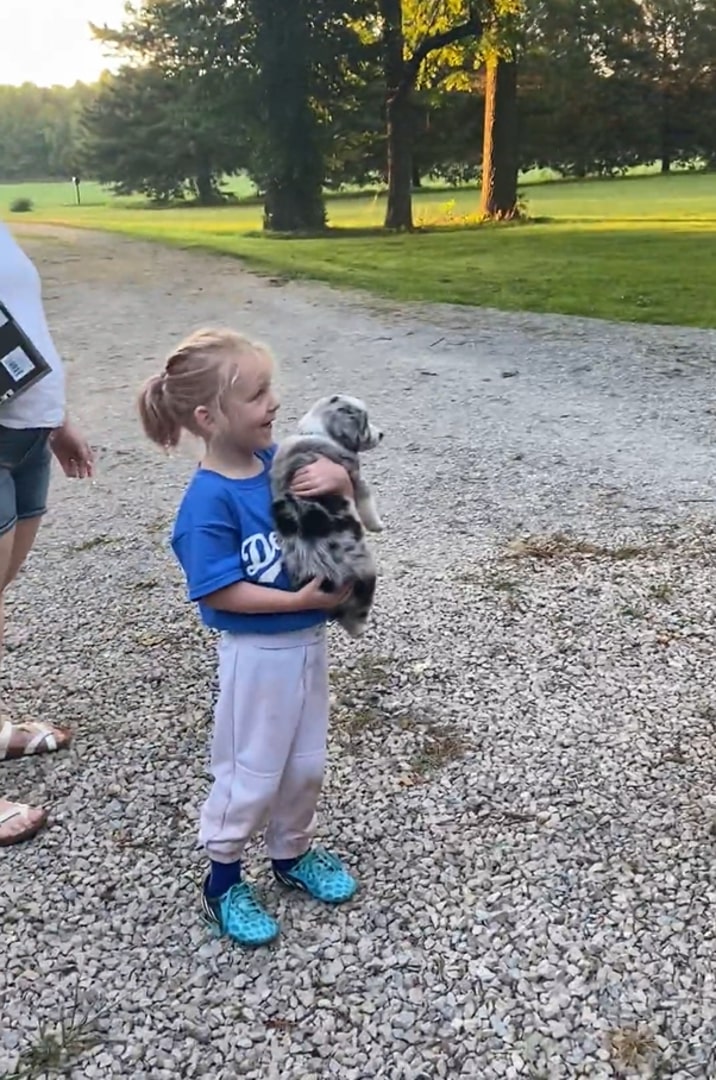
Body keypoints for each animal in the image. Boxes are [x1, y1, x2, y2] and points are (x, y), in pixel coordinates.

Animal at [268, 393, 384, 635]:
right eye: (365, 423)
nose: (381, 434)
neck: (316, 431)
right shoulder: (354, 477)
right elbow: (367, 503)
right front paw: (377, 525)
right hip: (367, 572)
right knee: (357, 611)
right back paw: (359, 629)